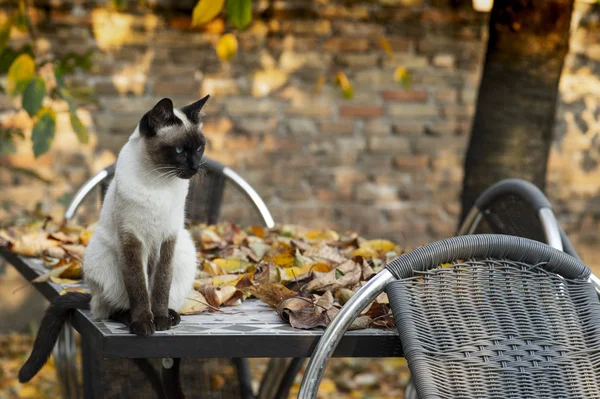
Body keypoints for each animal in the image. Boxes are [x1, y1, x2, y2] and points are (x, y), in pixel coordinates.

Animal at [18, 96, 209, 384]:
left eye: (199, 148)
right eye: (178, 150)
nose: (195, 167)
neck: (159, 182)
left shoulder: (167, 239)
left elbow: (160, 287)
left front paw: (161, 321)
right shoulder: (132, 241)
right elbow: (139, 288)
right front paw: (144, 325)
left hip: (185, 252)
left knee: (164, 295)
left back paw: (171, 316)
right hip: (105, 257)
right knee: (108, 307)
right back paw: (129, 317)